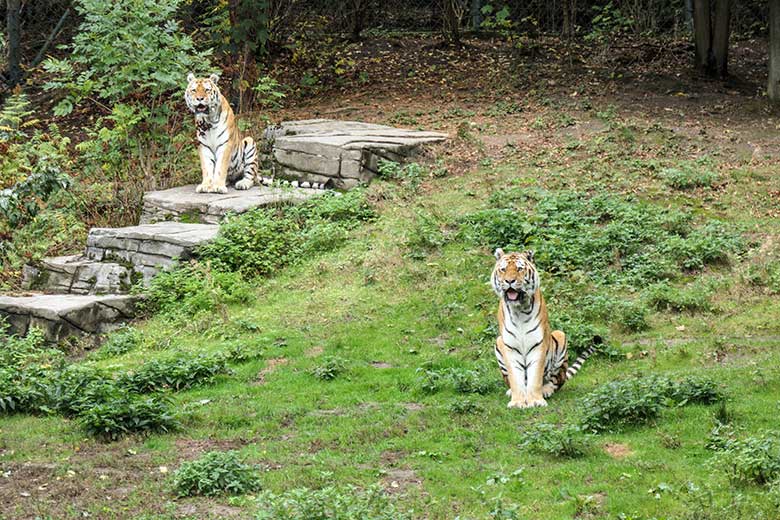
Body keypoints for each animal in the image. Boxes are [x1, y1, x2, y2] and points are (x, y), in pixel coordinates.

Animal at [494, 250, 596, 408]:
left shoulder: (538, 344)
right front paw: (517, 402)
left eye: (519, 269)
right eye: (503, 269)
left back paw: (546, 390)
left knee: (557, 381)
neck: (519, 310)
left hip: (560, 336)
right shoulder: (509, 346)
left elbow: (535, 377)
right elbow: (515, 378)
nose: (509, 281)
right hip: (498, 342)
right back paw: (511, 392)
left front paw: (536, 400)